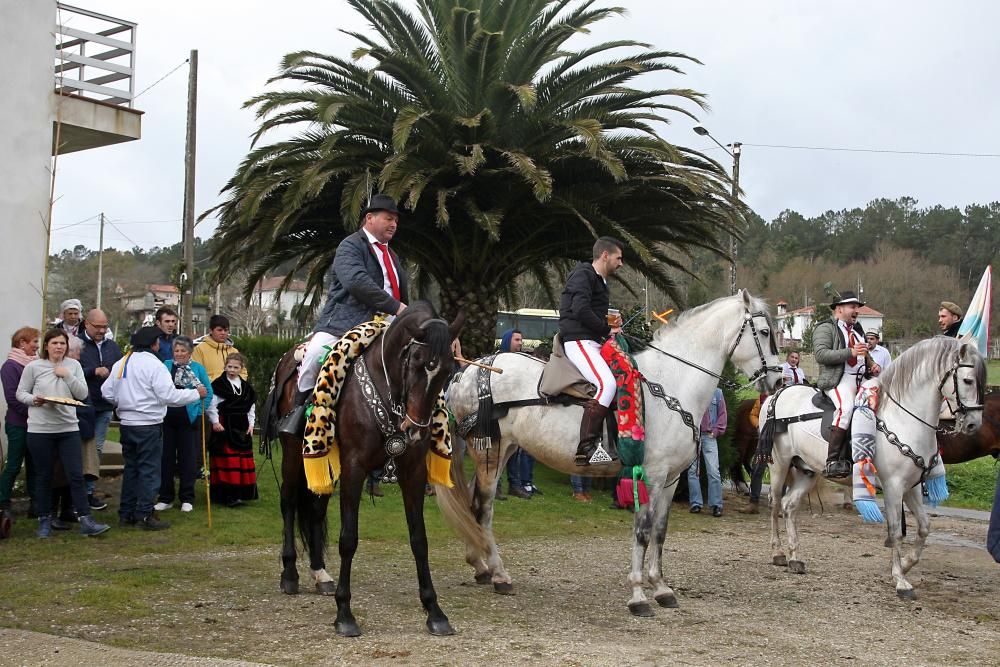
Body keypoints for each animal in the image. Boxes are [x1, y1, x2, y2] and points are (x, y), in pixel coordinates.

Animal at [442, 290, 784, 616]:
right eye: (765, 332)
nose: (779, 379)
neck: (671, 383)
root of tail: (467, 373)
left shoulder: (671, 480)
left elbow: (660, 531)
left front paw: (661, 588)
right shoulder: (652, 476)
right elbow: (643, 532)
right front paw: (638, 596)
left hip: (502, 452)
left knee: (473, 504)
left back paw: (481, 566)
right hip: (492, 453)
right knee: (483, 508)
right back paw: (499, 575)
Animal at [756, 340, 984, 600]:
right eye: (967, 380)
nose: (974, 424)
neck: (903, 419)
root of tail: (777, 395)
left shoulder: (912, 488)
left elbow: (924, 527)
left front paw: (906, 564)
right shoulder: (894, 487)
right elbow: (896, 532)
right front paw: (901, 580)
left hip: (806, 471)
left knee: (789, 506)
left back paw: (795, 557)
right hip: (779, 465)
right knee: (775, 504)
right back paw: (778, 553)